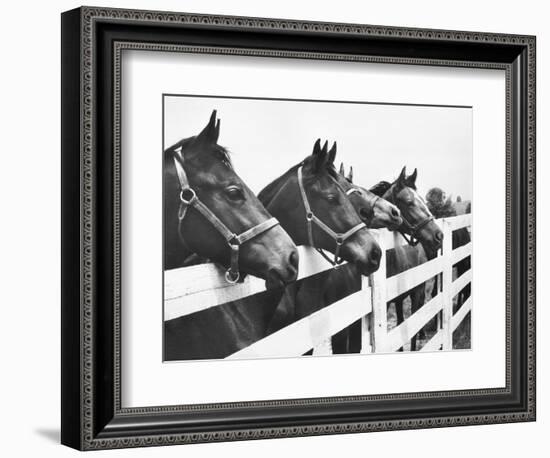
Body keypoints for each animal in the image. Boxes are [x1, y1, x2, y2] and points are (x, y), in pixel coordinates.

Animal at [368, 168, 446, 350]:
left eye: (423, 200)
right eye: (409, 202)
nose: (439, 236)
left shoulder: (416, 292)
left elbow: (413, 331)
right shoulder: (387, 303)